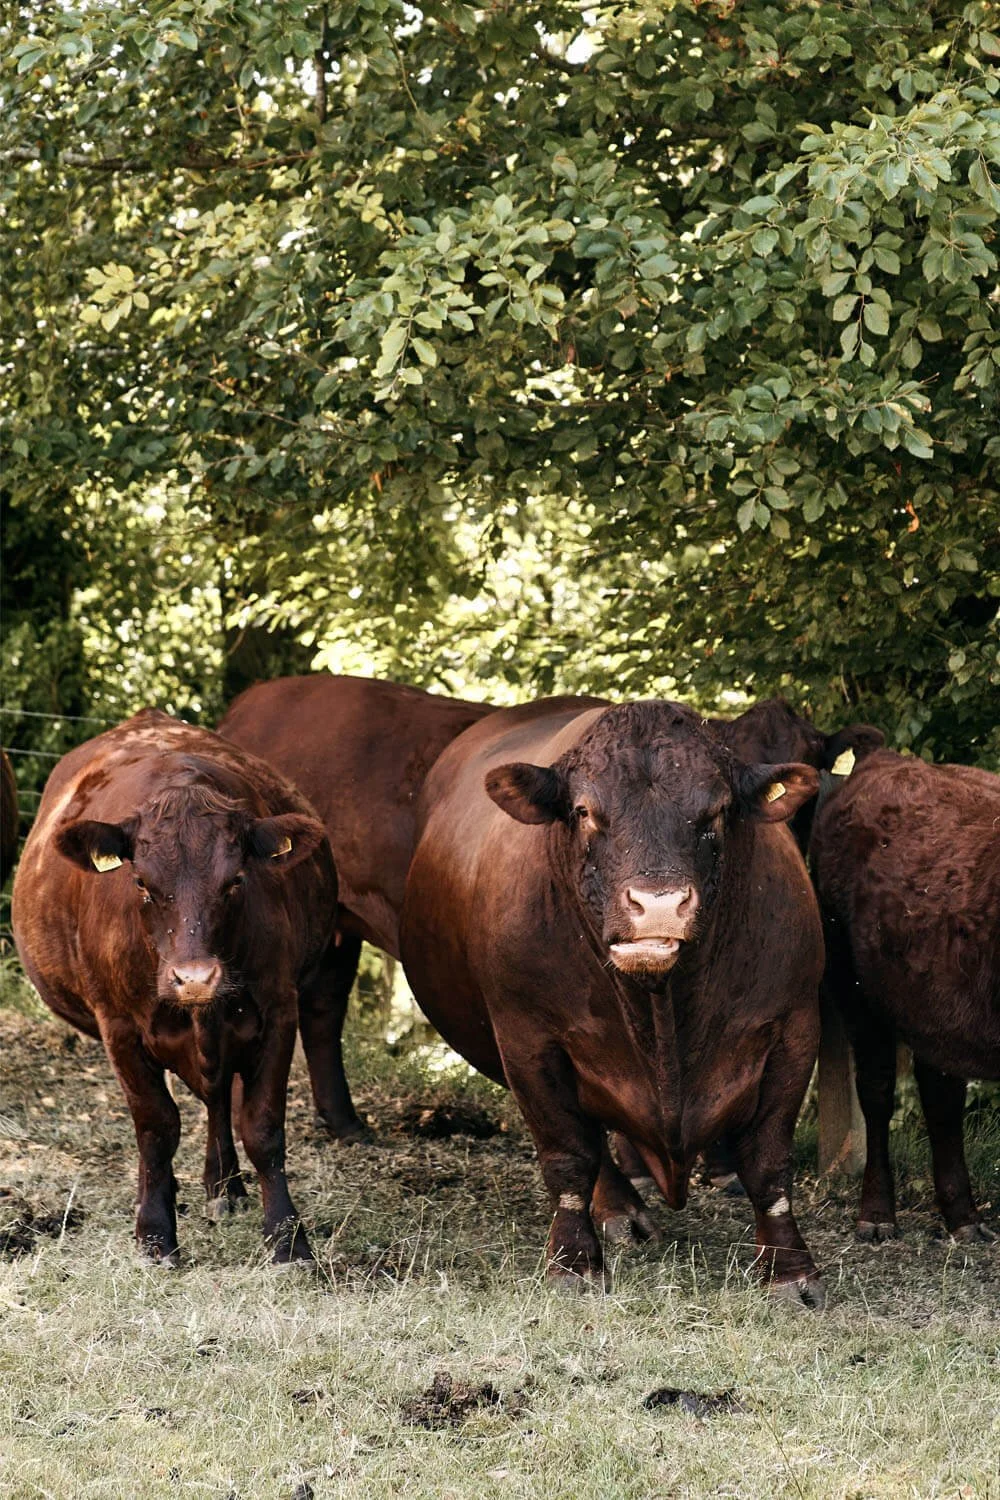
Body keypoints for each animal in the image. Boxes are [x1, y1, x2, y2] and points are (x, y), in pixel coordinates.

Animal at [12, 708, 338, 1266]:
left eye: (236, 881)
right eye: (141, 882)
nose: (195, 979)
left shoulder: (278, 1010)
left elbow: (262, 1127)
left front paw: (288, 1239)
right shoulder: (118, 1027)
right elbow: (156, 1127)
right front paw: (155, 1234)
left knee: (219, 1098)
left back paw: (224, 1187)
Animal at [398, 697, 827, 1306]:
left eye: (718, 810)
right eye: (583, 811)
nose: (659, 903)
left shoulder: (794, 1029)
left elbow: (768, 1162)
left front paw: (791, 1270)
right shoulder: (528, 1039)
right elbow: (569, 1155)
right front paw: (574, 1263)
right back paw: (622, 1210)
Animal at [810, 749, 999, 1244]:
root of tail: (884, 758)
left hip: (935, 1008)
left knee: (941, 1096)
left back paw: (963, 1216)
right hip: (856, 988)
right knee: (877, 1092)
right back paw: (877, 1213)